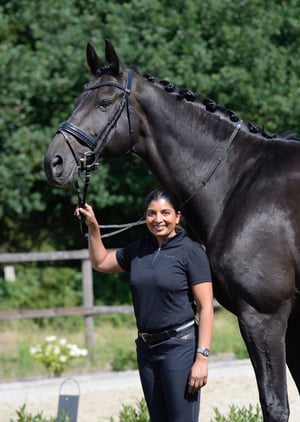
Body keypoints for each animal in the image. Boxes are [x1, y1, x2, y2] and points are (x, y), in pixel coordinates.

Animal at [44, 40, 300, 422]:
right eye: (77, 101)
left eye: (104, 102)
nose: (54, 162)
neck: (240, 180)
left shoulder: (264, 317)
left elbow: (275, 404)